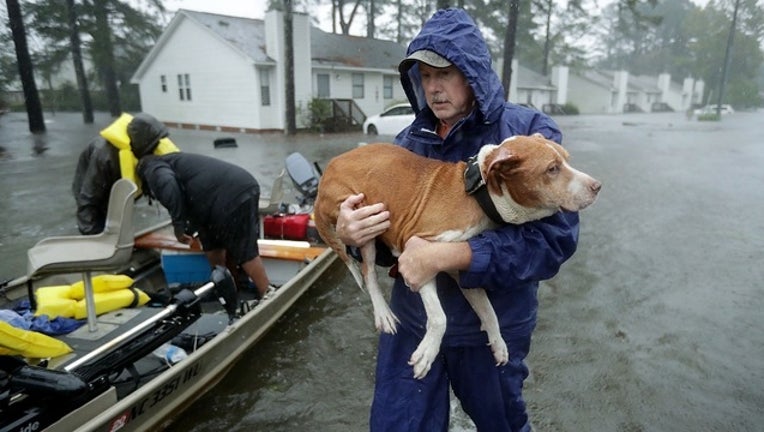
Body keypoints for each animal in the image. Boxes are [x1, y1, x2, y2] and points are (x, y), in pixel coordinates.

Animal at [314, 132, 600, 378]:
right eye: (552, 169)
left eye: (566, 160)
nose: (597, 186)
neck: (481, 195)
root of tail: (329, 168)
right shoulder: (416, 255)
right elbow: (440, 318)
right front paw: (427, 353)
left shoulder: (464, 268)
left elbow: (488, 311)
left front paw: (498, 342)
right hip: (362, 217)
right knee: (368, 272)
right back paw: (383, 314)